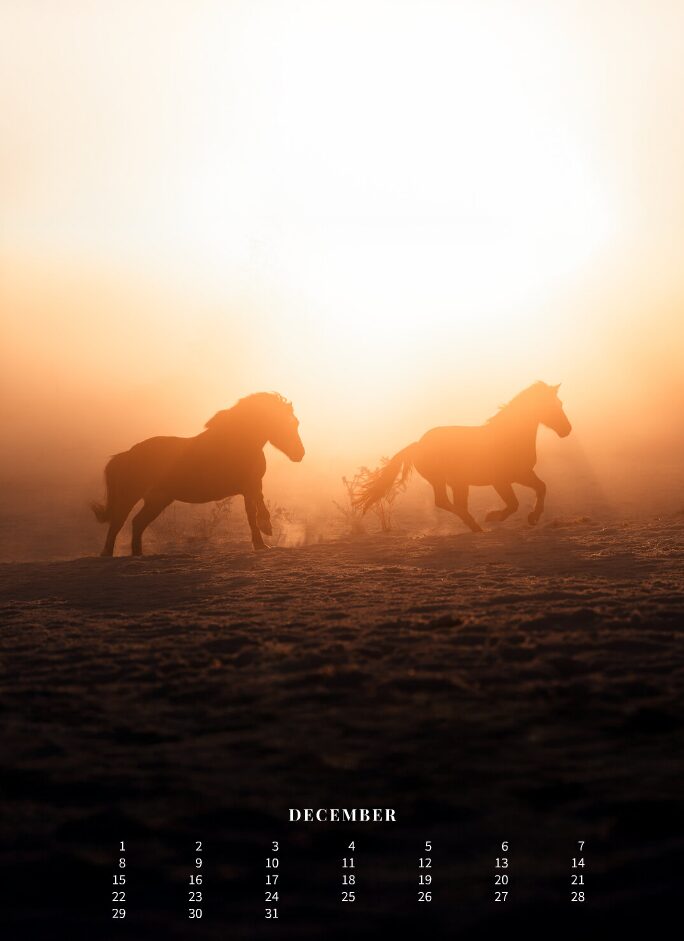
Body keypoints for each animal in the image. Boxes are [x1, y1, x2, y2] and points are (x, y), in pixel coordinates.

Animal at [91, 392, 304, 556]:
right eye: (284, 423)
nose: (299, 454)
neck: (238, 442)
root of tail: (126, 454)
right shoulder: (248, 485)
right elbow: (256, 511)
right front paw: (265, 532)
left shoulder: (252, 485)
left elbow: (254, 510)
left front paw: (262, 540)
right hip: (130, 496)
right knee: (117, 523)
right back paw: (109, 555)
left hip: (158, 500)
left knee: (137, 523)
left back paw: (138, 555)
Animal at [354, 381, 571, 531]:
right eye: (549, 405)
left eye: (560, 403)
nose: (567, 430)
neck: (509, 438)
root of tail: (418, 445)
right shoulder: (501, 481)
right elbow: (513, 504)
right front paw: (492, 516)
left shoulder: (523, 474)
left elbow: (541, 487)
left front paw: (533, 517)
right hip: (441, 481)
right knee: (443, 502)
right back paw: (476, 525)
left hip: (459, 483)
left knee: (455, 503)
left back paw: (474, 525)